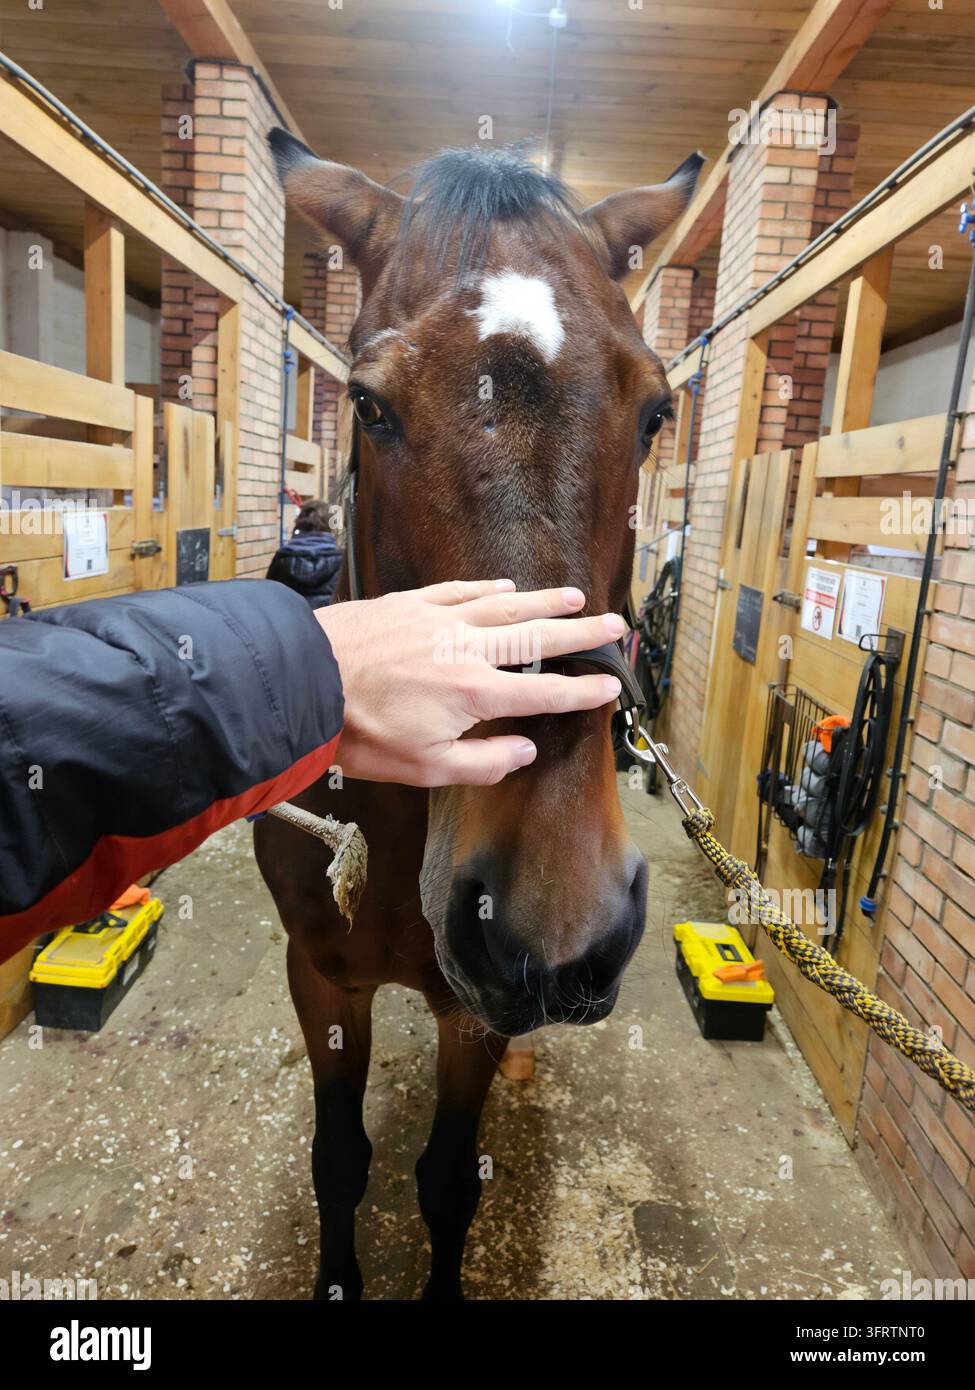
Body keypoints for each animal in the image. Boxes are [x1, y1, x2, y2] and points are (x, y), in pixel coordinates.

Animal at [255, 133, 702, 1300]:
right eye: (368, 405)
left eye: (656, 412)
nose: (554, 912)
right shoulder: (319, 978)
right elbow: (339, 1158)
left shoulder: (472, 1014)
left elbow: (448, 1179)